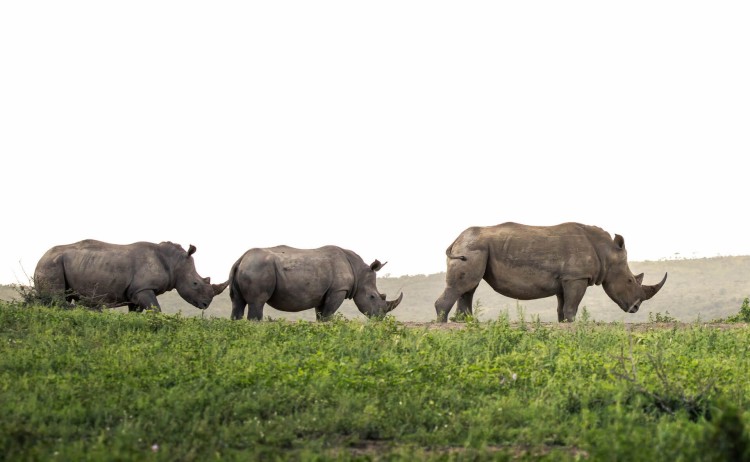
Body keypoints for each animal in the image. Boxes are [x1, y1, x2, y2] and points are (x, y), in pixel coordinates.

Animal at [33, 240, 229, 312]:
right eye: (195, 283)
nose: (205, 305)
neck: (174, 263)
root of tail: (40, 259)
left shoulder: (135, 292)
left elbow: (138, 313)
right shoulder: (143, 288)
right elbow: (156, 309)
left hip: (55, 263)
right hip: (51, 264)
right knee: (57, 300)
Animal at [228, 245, 403, 320]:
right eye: (372, 297)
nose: (380, 318)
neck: (358, 272)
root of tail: (240, 259)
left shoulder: (324, 293)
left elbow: (320, 315)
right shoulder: (338, 290)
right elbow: (328, 315)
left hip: (246, 268)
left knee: (237, 303)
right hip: (257, 268)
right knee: (257, 302)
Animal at [434, 222, 667, 322]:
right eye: (630, 281)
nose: (636, 308)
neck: (606, 251)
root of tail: (456, 239)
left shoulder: (567, 278)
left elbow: (562, 306)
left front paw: (563, 324)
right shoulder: (576, 276)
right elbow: (572, 305)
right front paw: (574, 324)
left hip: (475, 248)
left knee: (469, 287)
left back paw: (466, 323)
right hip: (473, 248)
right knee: (464, 285)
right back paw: (443, 324)